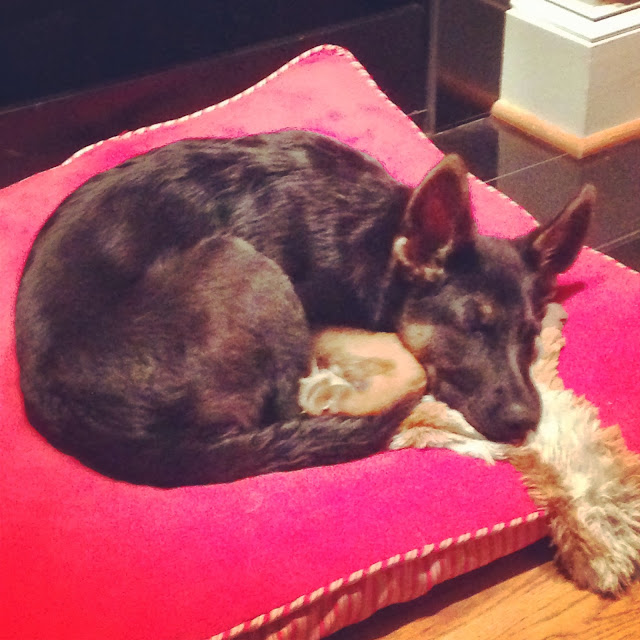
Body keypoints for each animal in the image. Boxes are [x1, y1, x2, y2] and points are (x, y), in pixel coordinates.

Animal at [15, 130, 594, 486]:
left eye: (530, 335)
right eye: (470, 325)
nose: (525, 421)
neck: (380, 239)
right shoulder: (317, 314)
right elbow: (408, 363)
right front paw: (337, 396)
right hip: (245, 263)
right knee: (284, 407)